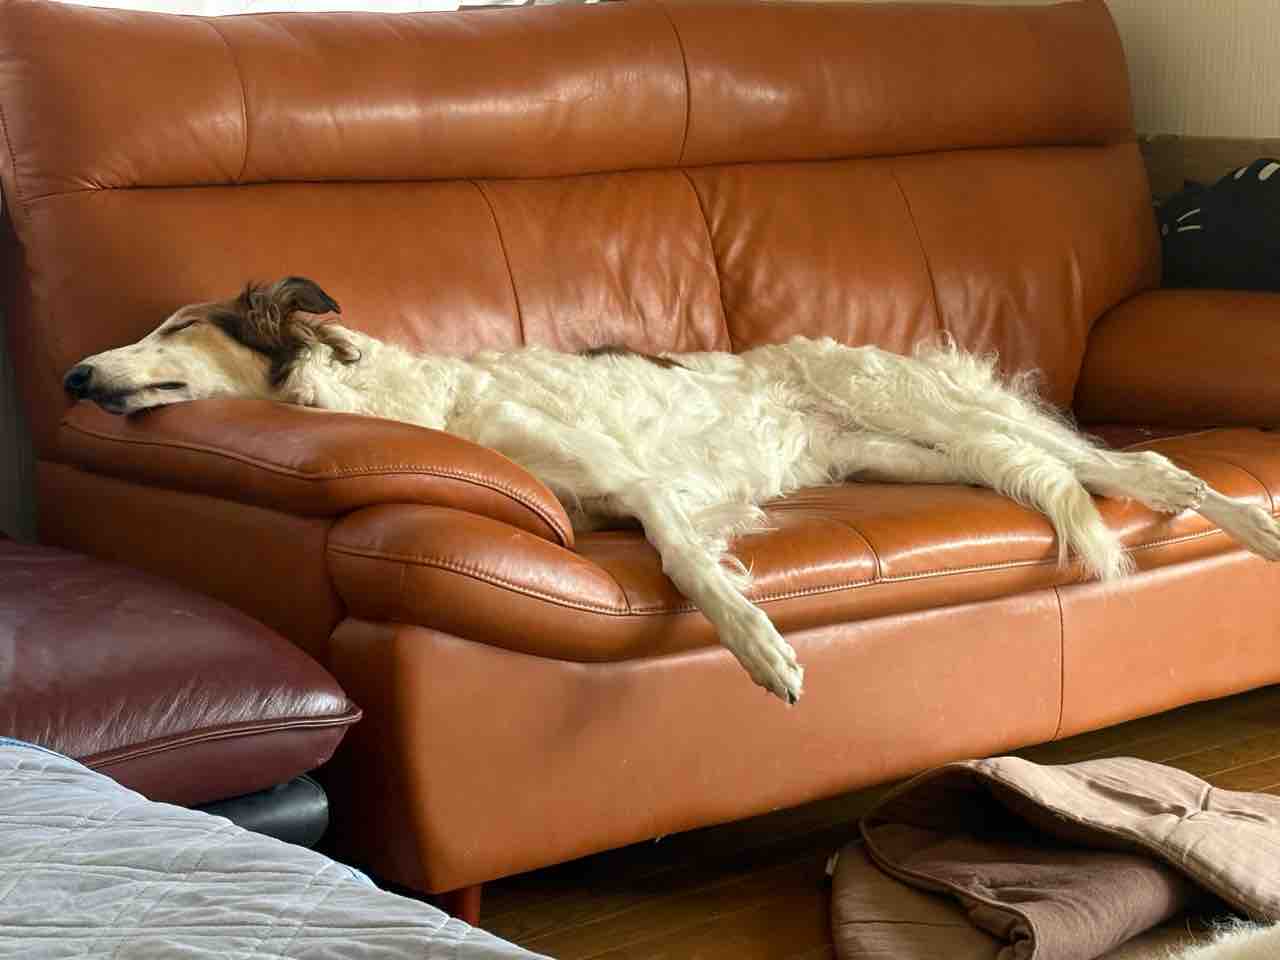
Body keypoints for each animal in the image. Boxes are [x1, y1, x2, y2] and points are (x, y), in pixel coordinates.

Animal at [63, 277, 1280, 704]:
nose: (71, 377)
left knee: (1150, 467)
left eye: (175, 329)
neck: (425, 407)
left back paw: (1254, 530)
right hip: (929, 458)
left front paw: (765, 653)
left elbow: (692, 564)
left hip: (954, 423)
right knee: (1108, 474)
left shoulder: (636, 485)